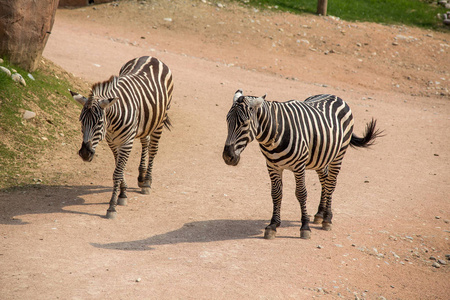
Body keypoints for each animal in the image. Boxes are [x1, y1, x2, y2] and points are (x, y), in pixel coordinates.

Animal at [69, 55, 173, 218]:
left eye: (99, 122)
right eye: (81, 121)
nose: (85, 154)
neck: (111, 122)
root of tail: (151, 57)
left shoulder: (127, 142)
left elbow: (117, 173)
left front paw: (112, 206)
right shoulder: (112, 142)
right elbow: (120, 167)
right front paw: (123, 193)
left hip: (160, 121)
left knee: (153, 149)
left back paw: (147, 182)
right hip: (144, 123)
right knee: (146, 141)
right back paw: (141, 176)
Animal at [223, 90, 382, 240]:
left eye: (245, 124)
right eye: (227, 121)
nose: (227, 157)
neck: (275, 133)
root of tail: (335, 96)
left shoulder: (299, 166)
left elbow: (301, 193)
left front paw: (305, 227)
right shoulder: (272, 166)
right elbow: (276, 194)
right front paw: (273, 225)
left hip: (339, 155)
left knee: (331, 183)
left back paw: (327, 218)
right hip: (321, 158)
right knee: (324, 181)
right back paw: (319, 214)